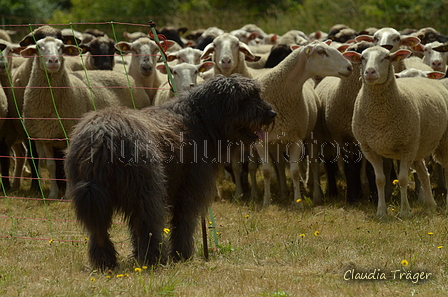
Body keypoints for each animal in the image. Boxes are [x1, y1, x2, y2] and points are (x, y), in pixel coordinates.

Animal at [65, 73, 276, 268]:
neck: (201, 119)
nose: (272, 113)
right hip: (146, 191)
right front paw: (182, 254)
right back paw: (153, 259)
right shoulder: (190, 189)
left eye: (257, 94)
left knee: (99, 230)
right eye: (246, 98)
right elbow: (183, 222)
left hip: (93, 195)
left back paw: (106, 262)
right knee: (147, 224)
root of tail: (102, 136)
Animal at [342, 46, 448, 217]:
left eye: (386, 57)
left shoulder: (406, 147)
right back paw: (431, 204)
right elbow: (379, 180)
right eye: (363, 58)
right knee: (424, 173)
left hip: (440, 141)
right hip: (417, 145)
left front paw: (404, 212)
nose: (370, 72)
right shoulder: (369, 149)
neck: (379, 116)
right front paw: (381, 212)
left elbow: (403, 179)